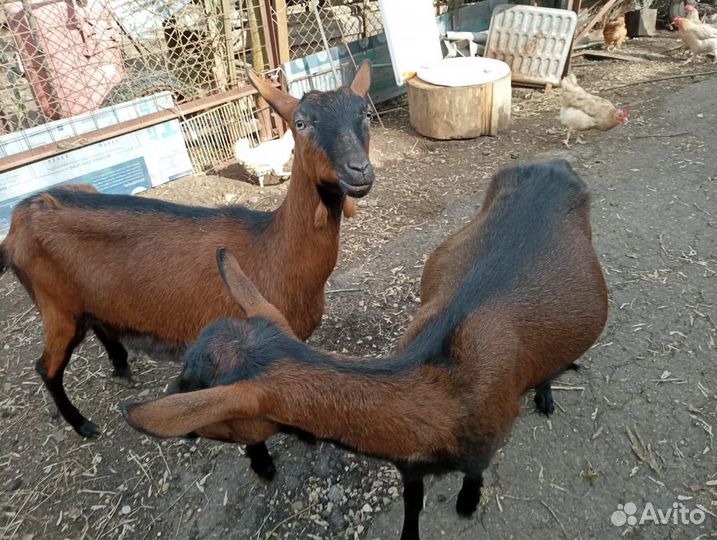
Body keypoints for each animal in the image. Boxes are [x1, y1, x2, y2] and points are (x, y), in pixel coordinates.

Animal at [0, 61, 375, 453]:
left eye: (364, 113)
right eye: (301, 123)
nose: (358, 169)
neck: (271, 250)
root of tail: (21, 216)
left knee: (98, 323)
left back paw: (122, 367)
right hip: (55, 306)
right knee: (46, 367)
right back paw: (83, 424)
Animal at [122, 160, 608, 540]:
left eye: (193, 383)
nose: (170, 391)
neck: (443, 396)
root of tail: (552, 165)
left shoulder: (485, 444)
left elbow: (474, 477)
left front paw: (467, 505)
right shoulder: (409, 465)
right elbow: (411, 505)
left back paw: (546, 395)